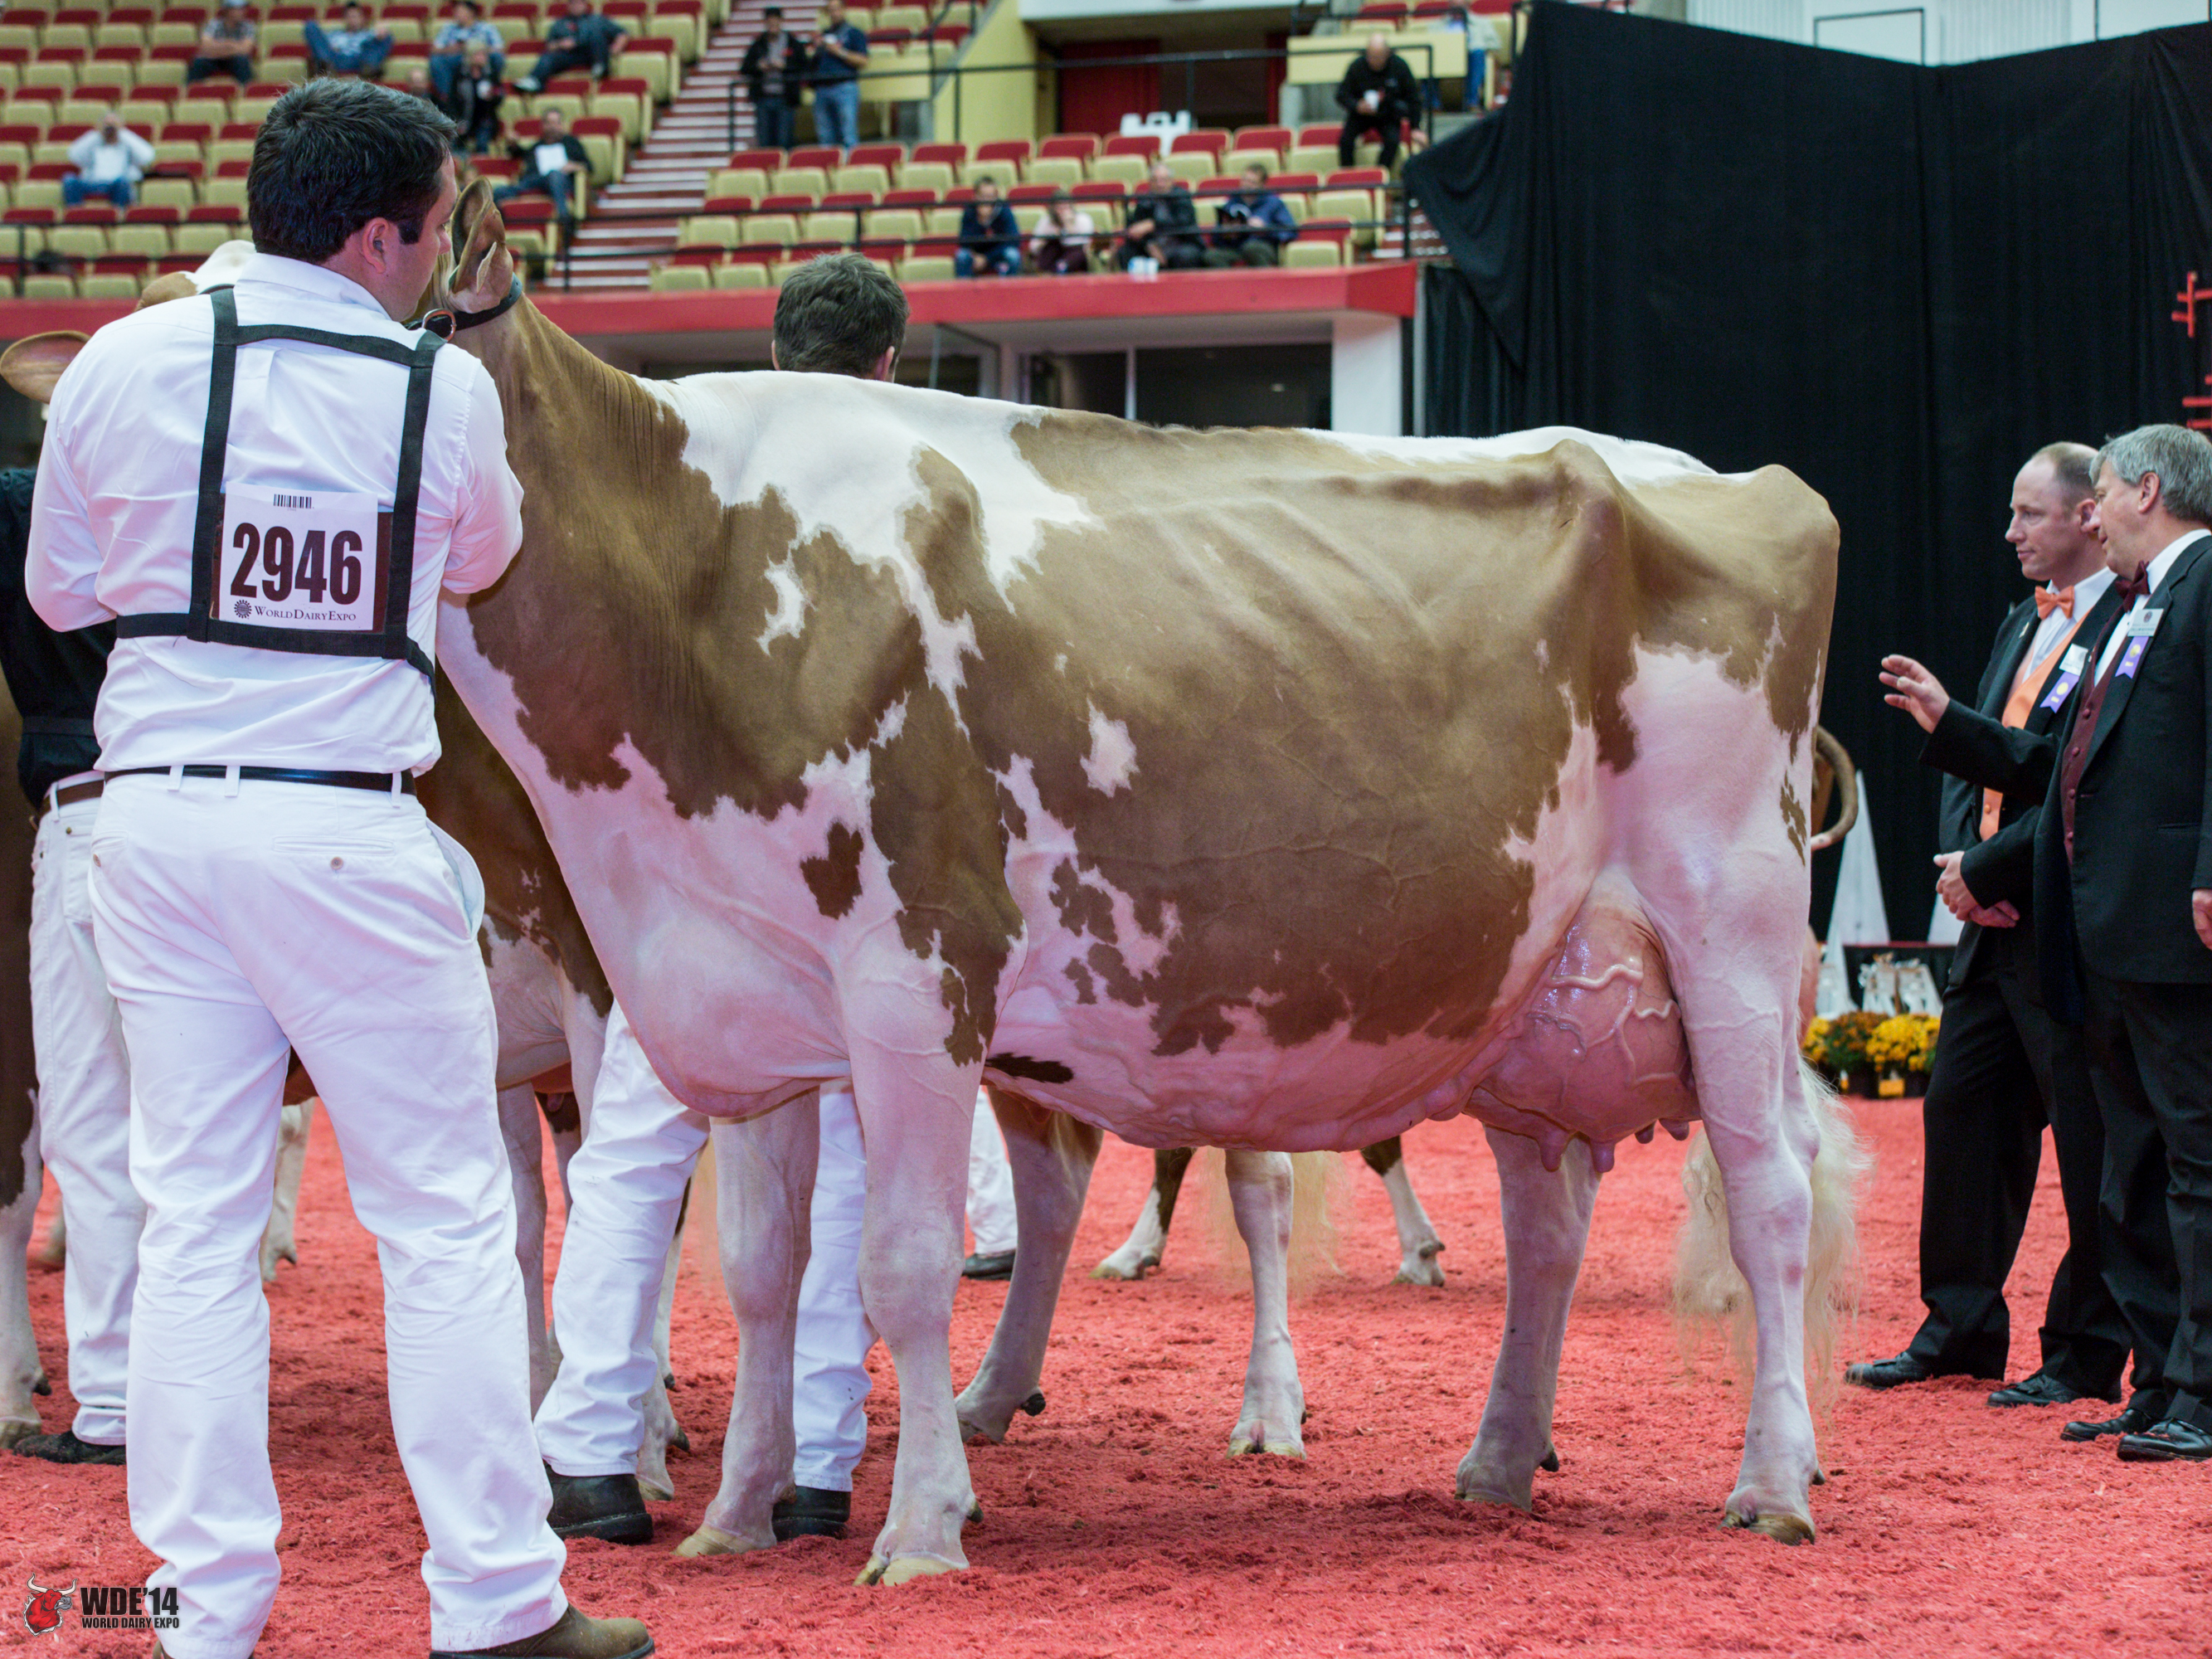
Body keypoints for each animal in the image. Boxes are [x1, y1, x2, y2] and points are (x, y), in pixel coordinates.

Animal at [426, 187, 1855, 1584]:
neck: (701, 575)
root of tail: (1731, 476)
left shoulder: (916, 970)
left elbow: (900, 1261)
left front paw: (919, 1529)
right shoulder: (739, 993)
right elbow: (761, 1269)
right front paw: (735, 1511)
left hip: (1727, 925)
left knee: (1770, 1188)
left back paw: (1772, 1484)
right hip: (1528, 992)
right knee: (1545, 1217)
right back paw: (1501, 1460)